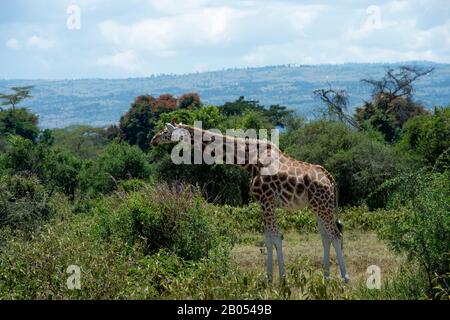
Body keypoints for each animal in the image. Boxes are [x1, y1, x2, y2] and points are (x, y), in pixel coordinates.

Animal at [149, 122, 350, 282]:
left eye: (165, 131)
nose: (153, 139)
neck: (249, 160)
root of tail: (330, 179)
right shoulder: (265, 203)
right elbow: (268, 240)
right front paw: (269, 278)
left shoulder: (266, 200)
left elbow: (275, 238)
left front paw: (282, 279)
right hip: (317, 206)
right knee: (326, 236)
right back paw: (326, 277)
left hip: (322, 205)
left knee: (335, 235)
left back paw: (345, 278)